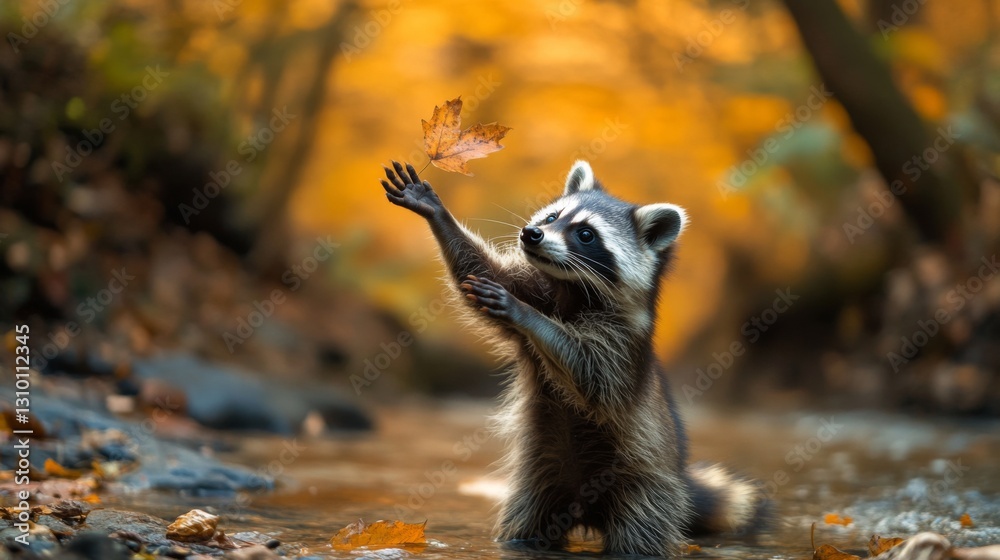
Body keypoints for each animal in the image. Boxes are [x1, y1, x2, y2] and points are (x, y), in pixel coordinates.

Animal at [380, 160, 762, 556]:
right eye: (552, 217)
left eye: (586, 234)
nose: (531, 233)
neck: (573, 290)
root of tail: (586, 511)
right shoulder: (539, 288)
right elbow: (482, 271)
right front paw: (436, 212)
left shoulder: (620, 344)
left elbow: (588, 374)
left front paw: (524, 313)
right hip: (537, 485)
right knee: (525, 524)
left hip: (646, 488)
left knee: (638, 538)